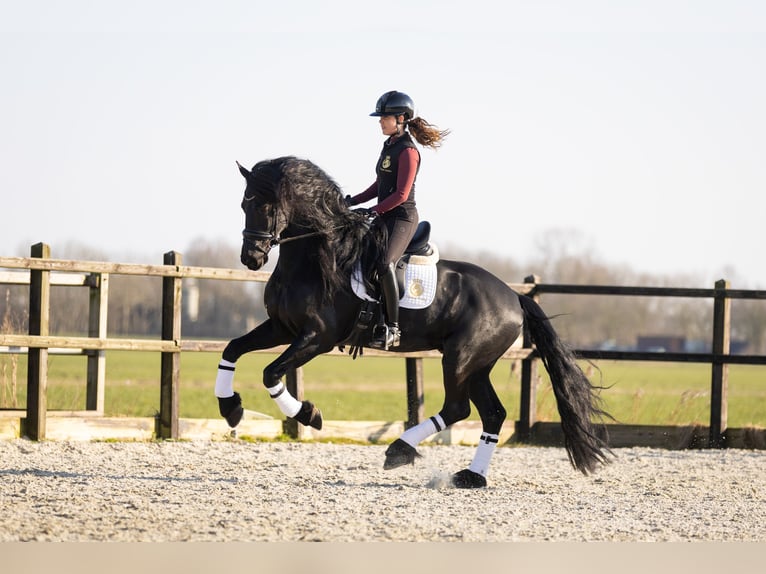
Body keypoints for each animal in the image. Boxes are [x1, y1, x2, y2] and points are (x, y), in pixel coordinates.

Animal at [219, 155, 616, 488]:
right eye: (244, 204)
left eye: (266, 205)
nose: (252, 258)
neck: (316, 257)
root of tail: (513, 297)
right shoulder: (282, 328)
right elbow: (232, 350)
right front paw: (231, 408)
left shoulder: (318, 337)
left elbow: (271, 372)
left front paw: (308, 414)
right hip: (477, 365)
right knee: (492, 414)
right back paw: (470, 476)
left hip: (460, 359)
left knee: (458, 408)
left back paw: (400, 450)